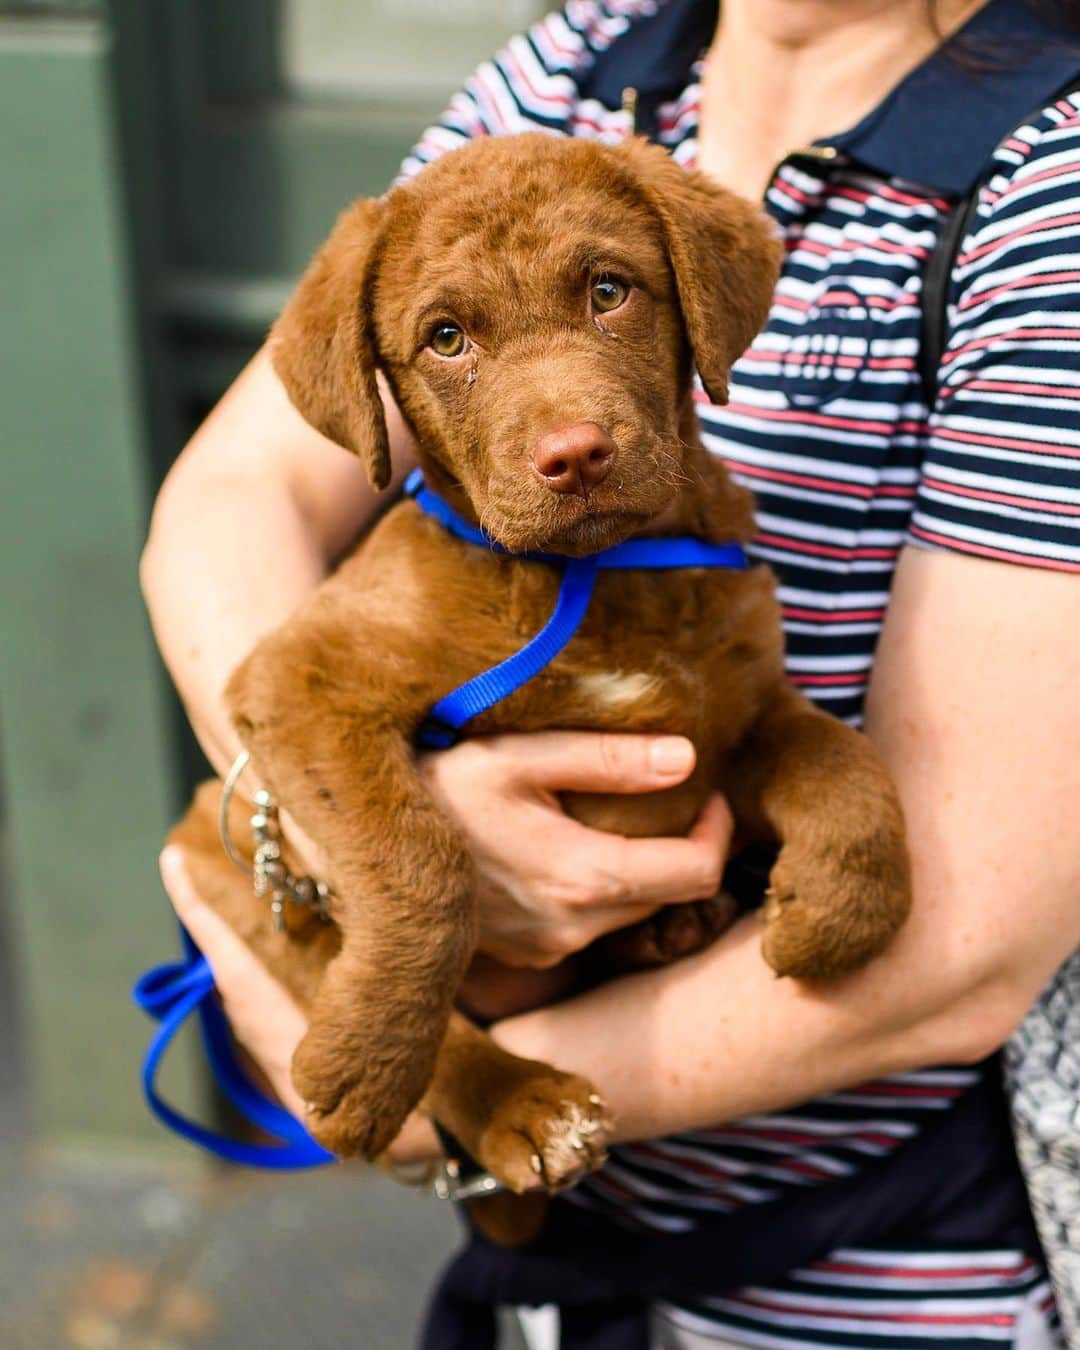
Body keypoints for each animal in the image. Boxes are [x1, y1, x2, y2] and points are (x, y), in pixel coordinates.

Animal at [172, 134, 918, 1236]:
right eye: (445, 339)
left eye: (609, 290)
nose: (575, 456)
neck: (595, 578)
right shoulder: (301, 677)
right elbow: (422, 861)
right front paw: (372, 1063)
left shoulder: (725, 713)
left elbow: (843, 760)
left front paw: (839, 914)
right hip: (233, 874)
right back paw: (507, 1098)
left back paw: (670, 930)